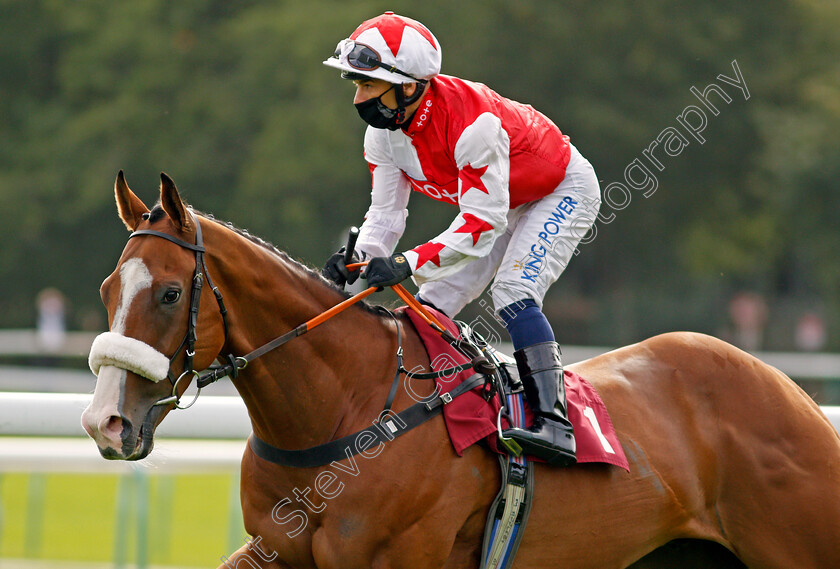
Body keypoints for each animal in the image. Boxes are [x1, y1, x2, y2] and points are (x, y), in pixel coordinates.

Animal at [80, 171, 840, 564]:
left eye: (170, 293)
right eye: (107, 288)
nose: (104, 422)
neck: (347, 408)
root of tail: (793, 393)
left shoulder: (397, 556)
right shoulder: (275, 550)